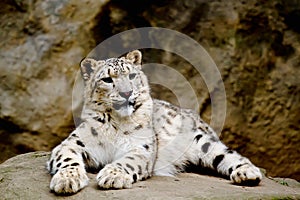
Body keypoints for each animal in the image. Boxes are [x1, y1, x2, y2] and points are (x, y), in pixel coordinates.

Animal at [47, 49, 262, 194]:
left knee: (227, 154)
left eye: (132, 75)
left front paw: (112, 175)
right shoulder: (73, 143)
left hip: (202, 142)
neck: (116, 122)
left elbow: (127, 161)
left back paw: (248, 174)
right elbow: (67, 158)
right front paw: (66, 180)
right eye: (107, 79)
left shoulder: (141, 148)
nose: (127, 93)